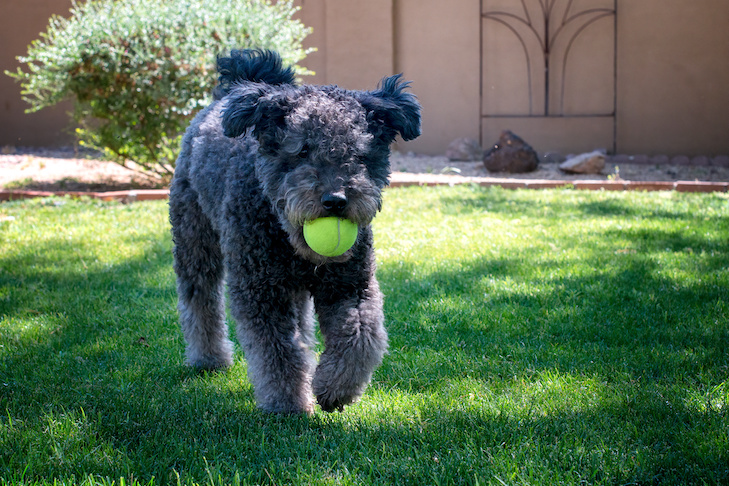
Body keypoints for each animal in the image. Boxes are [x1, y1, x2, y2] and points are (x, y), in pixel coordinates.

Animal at [169, 50, 420, 414]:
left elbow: (361, 336)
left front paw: (335, 388)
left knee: (301, 323)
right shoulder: (261, 290)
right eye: (302, 150)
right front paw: (287, 404)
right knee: (200, 299)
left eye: (359, 154)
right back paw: (208, 358)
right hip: (196, 243)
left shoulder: (350, 285)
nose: (335, 200)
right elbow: (276, 352)